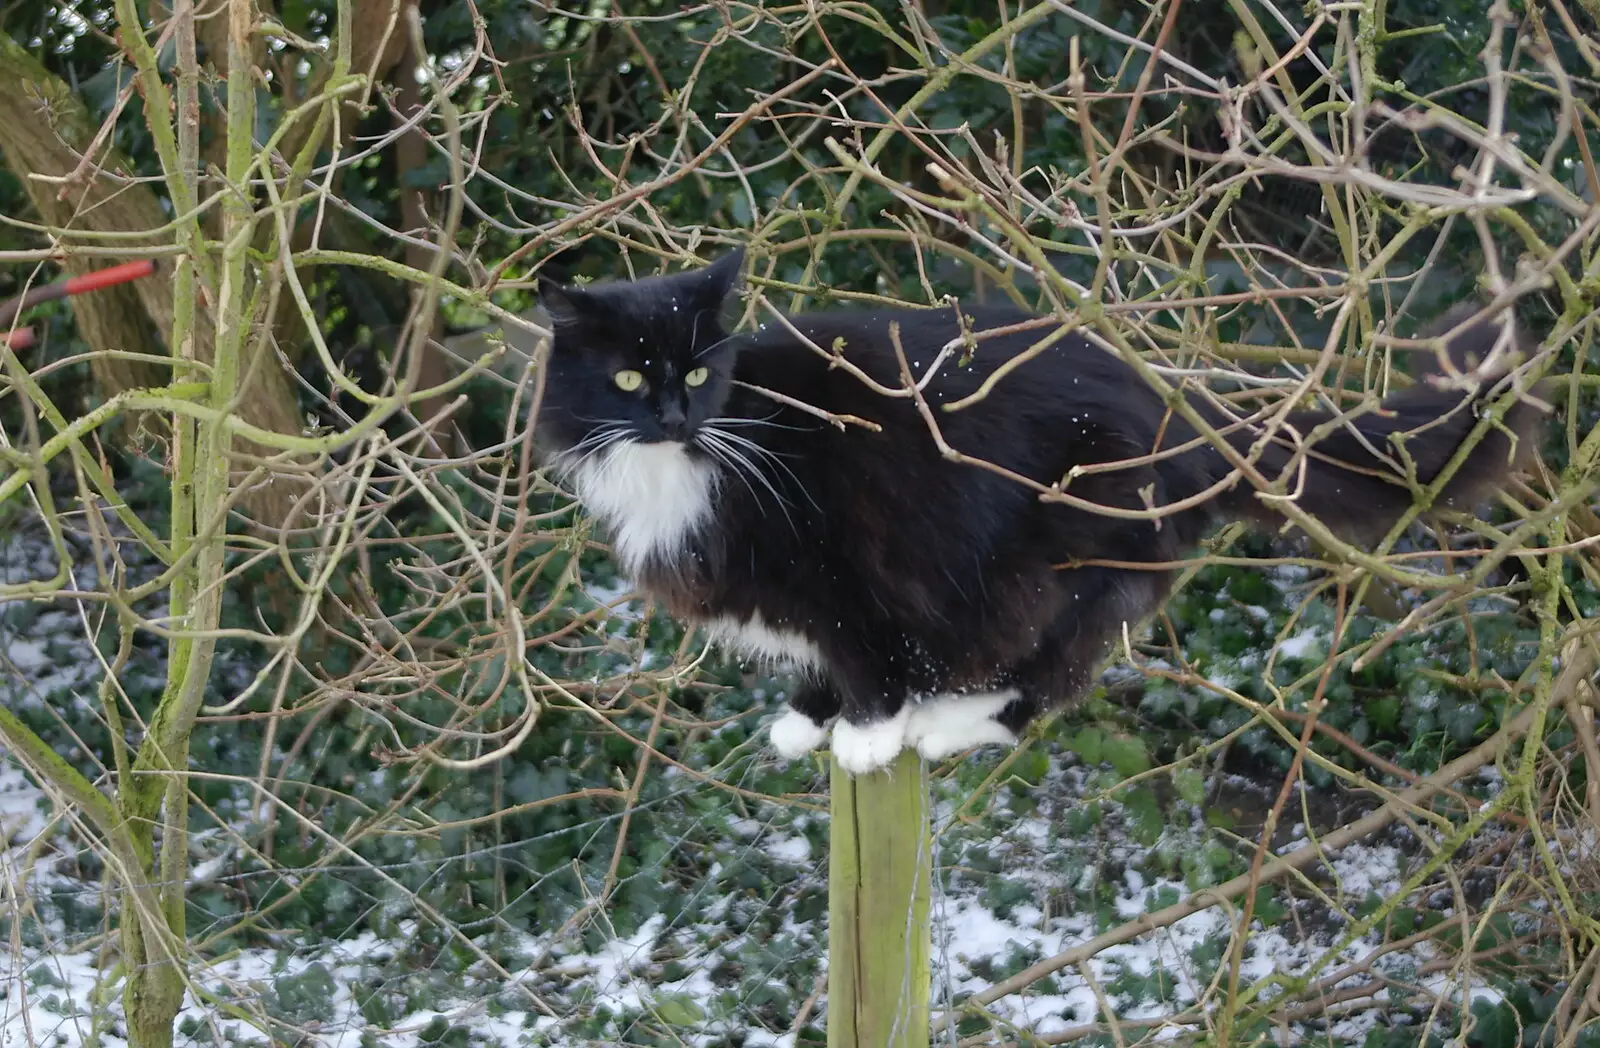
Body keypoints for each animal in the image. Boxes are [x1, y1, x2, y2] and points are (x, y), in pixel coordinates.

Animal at [534, 249, 1536, 774]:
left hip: (1067, 559)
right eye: (629, 379)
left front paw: (865, 734)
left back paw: (948, 726)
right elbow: (824, 659)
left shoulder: (847, 574)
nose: (675, 412)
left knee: (1053, 677)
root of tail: (1180, 405)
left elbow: (868, 655)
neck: (695, 457)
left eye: (700, 370)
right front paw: (808, 715)